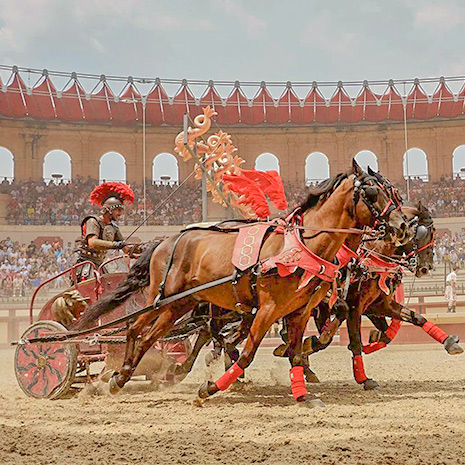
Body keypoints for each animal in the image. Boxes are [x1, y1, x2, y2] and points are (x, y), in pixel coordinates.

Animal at [74, 160, 408, 406]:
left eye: (394, 193)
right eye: (372, 193)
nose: (402, 226)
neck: (302, 247)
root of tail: (165, 241)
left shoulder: (299, 311)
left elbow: (296, 351)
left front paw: (302, 394)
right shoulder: (268, 310)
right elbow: (248, 354)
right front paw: (209, 388)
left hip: (179, 305)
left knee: (145, 335)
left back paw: (121, 377)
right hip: (164, 298)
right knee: (138, 328)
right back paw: (120, 376)